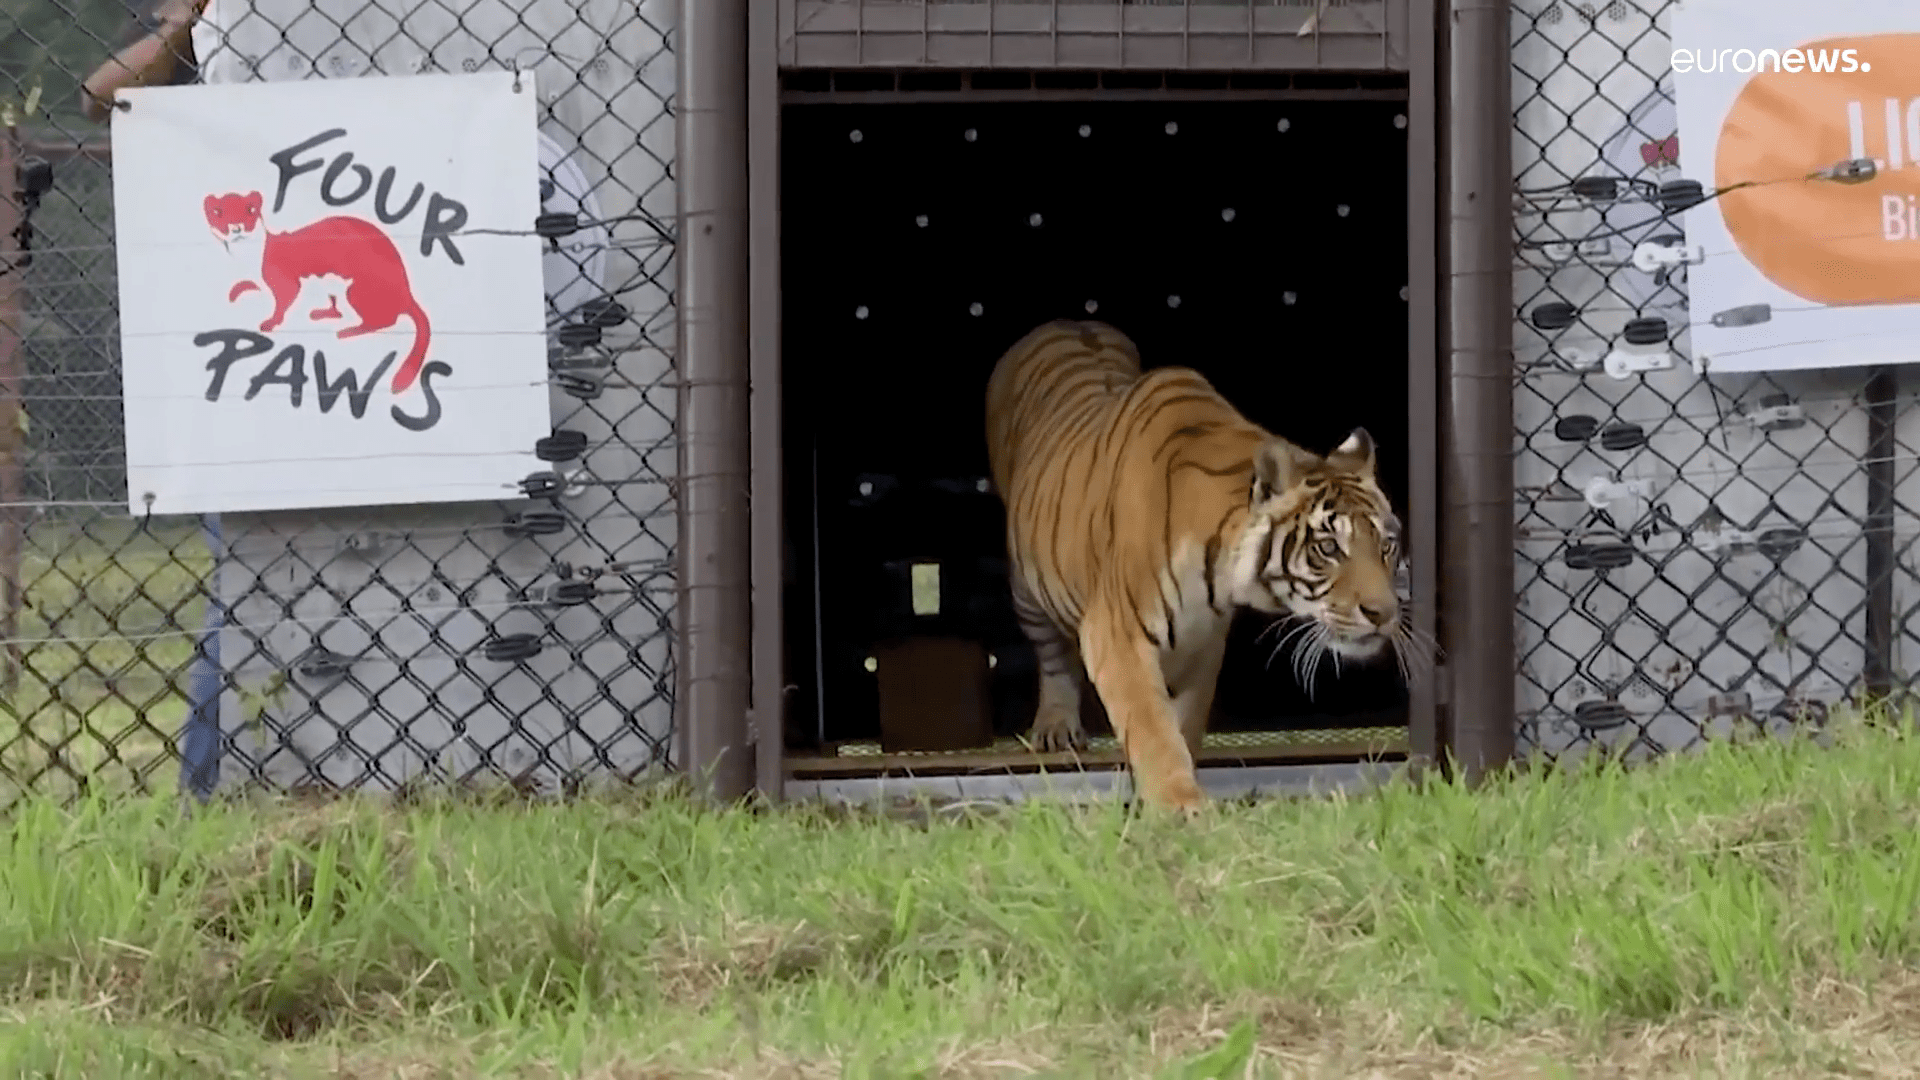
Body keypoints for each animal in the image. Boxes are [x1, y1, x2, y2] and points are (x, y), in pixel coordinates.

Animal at [990, 315, 1413, 810]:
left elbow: (1183, 726)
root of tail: (1068, 321)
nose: (1383, 614)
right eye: (1328, 547)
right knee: (1052, 653)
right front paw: (1180, 808)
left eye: (1386, 545)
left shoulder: (1203, 644)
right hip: (1026, 586)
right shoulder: (1116, 633)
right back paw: (1056, 727)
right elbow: (1152, 728)